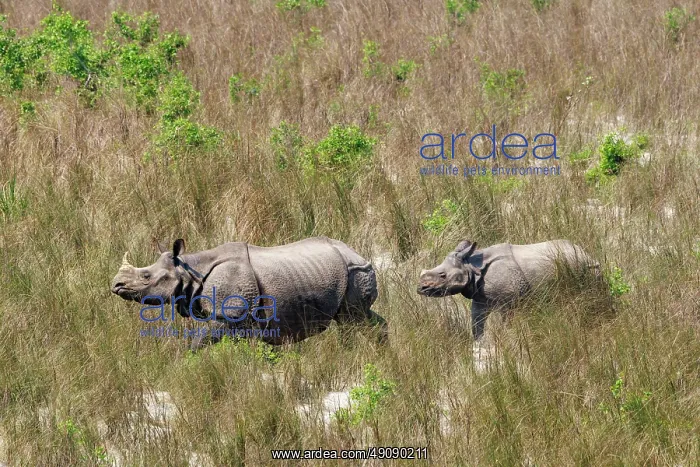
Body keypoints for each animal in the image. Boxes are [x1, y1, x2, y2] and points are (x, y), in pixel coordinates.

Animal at [111, 237, 386, 349]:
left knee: (351, 320)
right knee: (363, 317)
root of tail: (359, 254)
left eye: (146, 277)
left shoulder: (226, 315)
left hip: (353, 271)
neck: (190, 269)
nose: (116, 285)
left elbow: (199, 343)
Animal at [417, 239, 601, 340]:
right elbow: (477, 324)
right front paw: (480, 345)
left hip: (586, 268)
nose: (420, 288)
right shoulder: (480, 299)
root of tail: (586, 253)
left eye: (442, 275)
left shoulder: (508, 302)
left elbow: (505, 324)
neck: (471, 266)